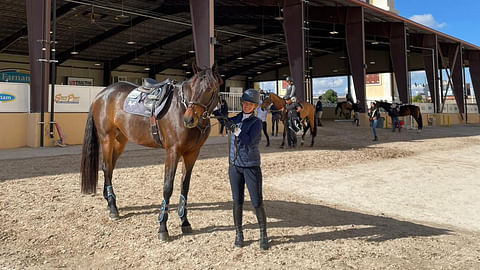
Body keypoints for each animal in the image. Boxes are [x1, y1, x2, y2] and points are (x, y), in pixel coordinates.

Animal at [80, 65, 223, 240]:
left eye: (210, 89)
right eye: (192, 88)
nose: (188, 119)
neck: (180, 107)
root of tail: (101, 94)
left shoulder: (192, 153)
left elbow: (185, 186)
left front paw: (185, 222)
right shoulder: (172, 152)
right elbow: (167, 187)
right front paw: (162, 227)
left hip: (120, 140)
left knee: (109, 168)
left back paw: (109, 201)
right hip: (106, 138)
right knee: (107, 168)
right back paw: (113, 208)